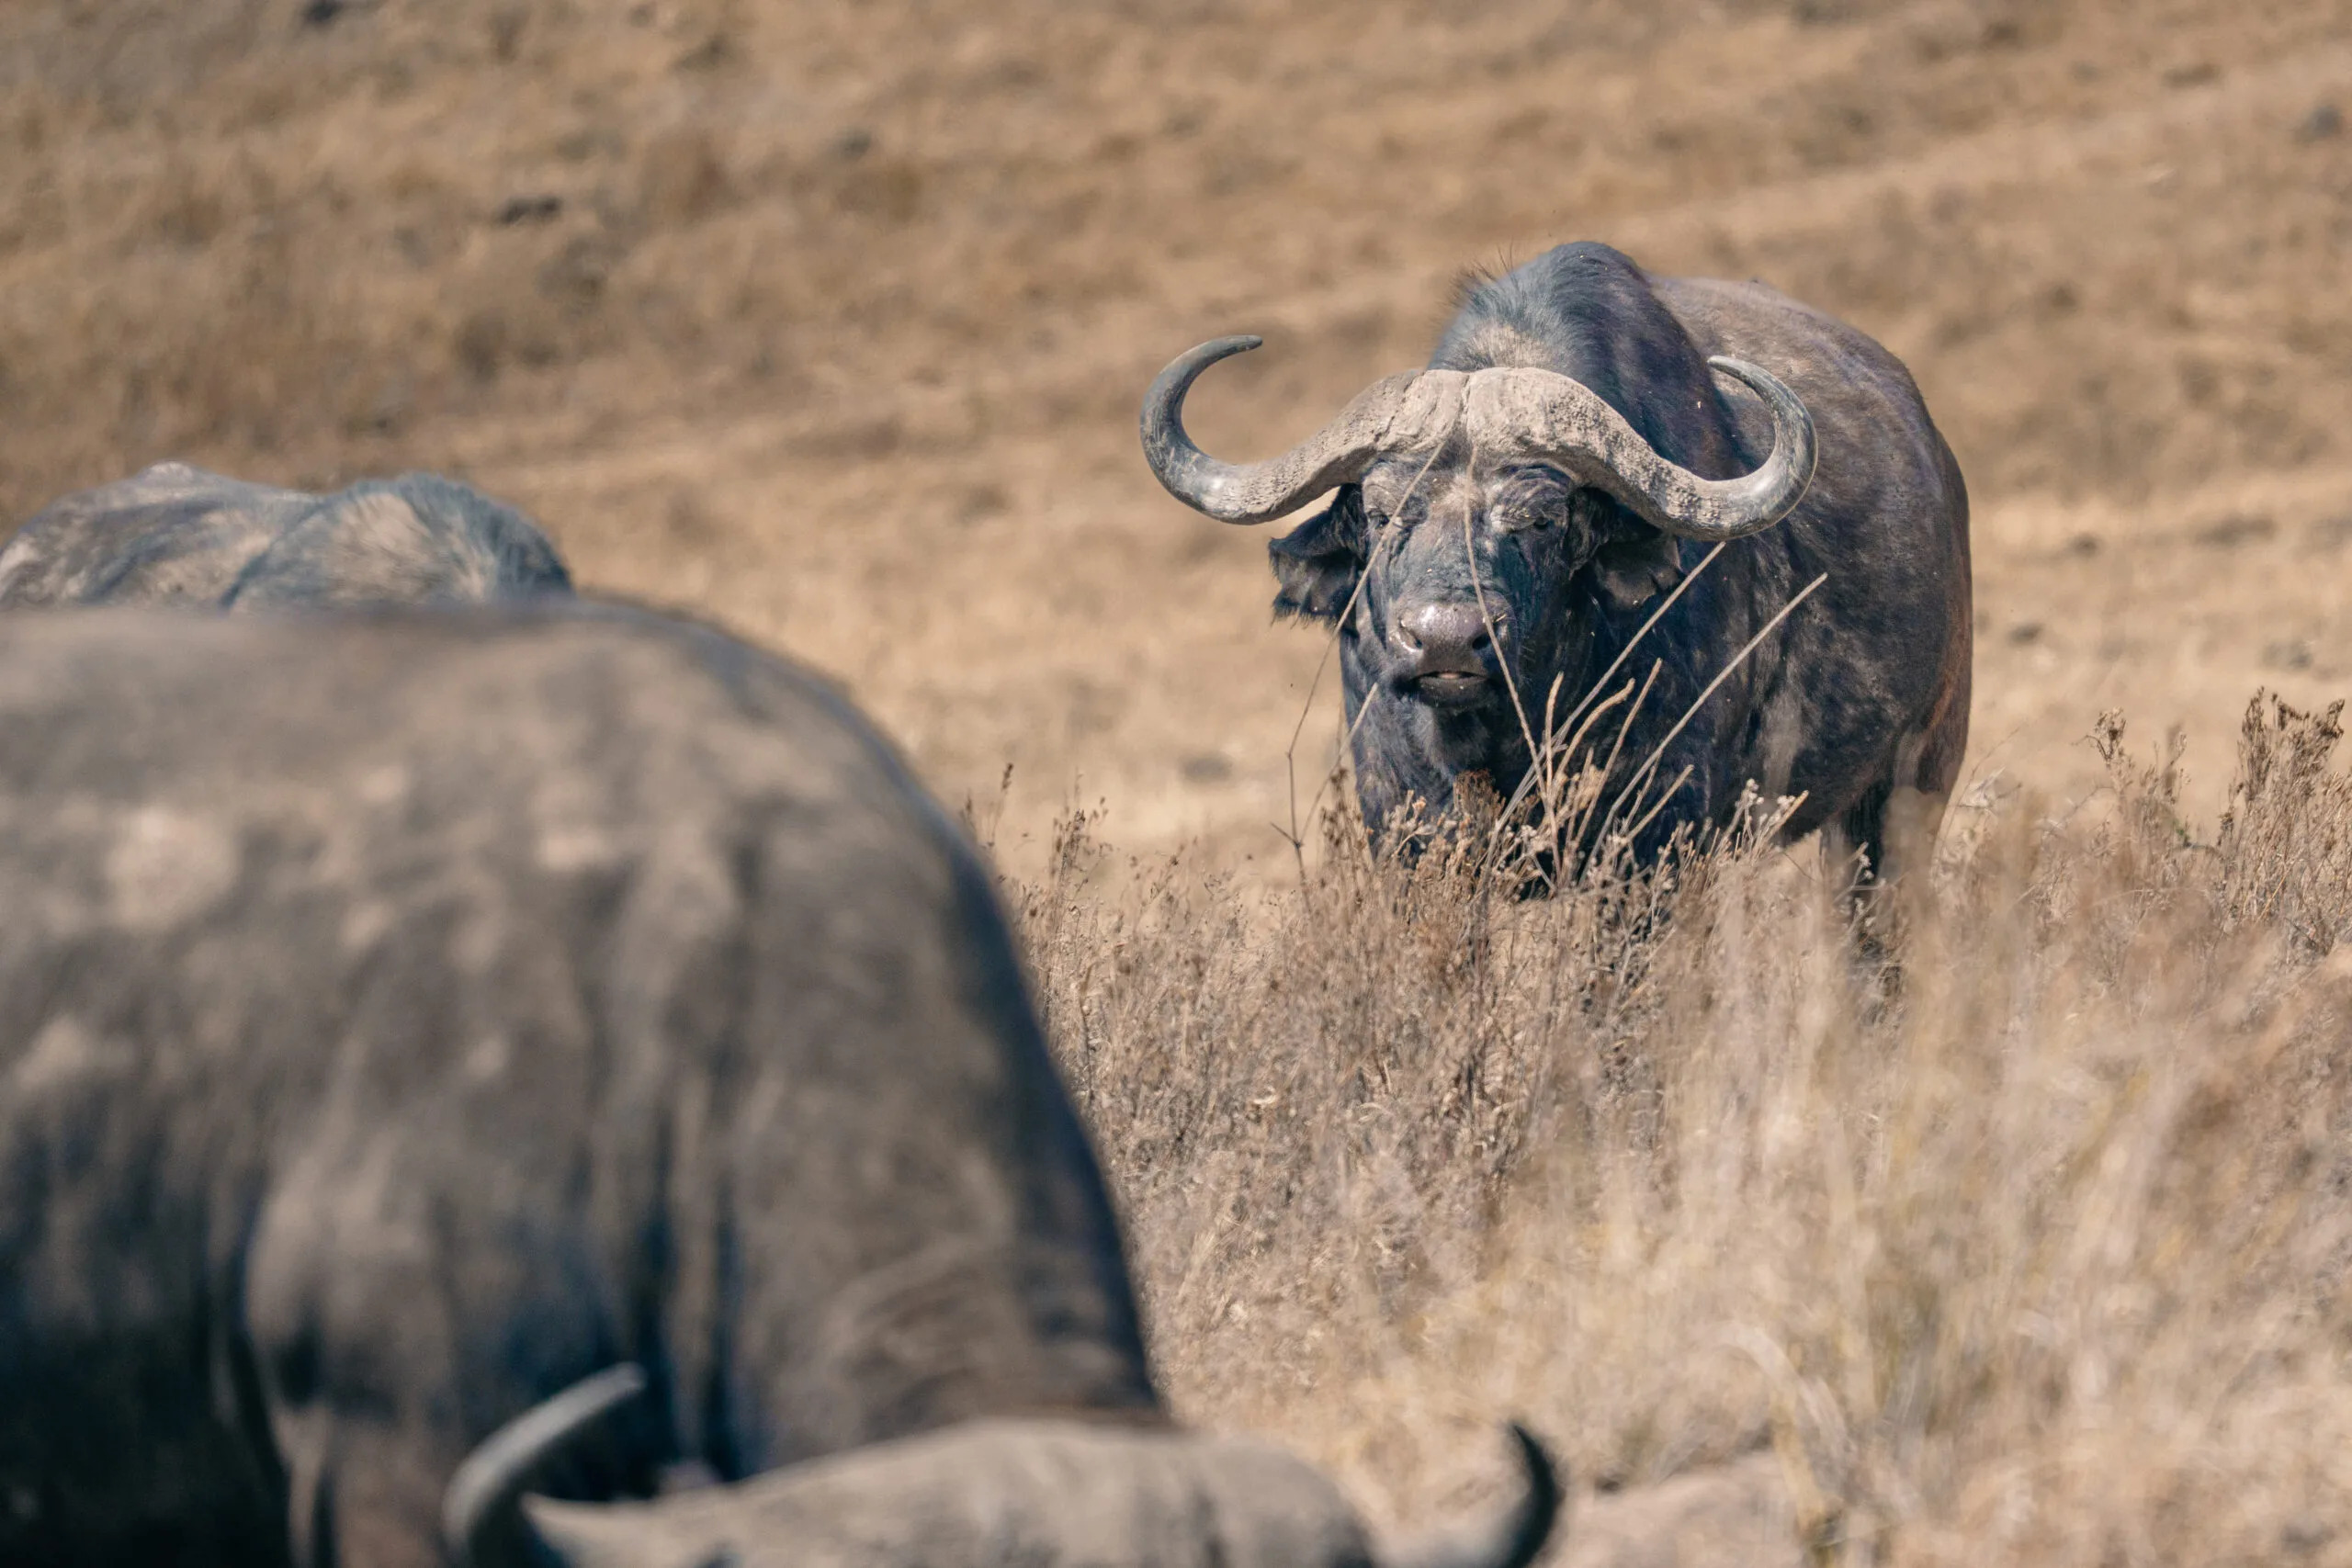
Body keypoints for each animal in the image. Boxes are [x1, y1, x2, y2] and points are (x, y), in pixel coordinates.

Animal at [1142, 242, 1970, 889]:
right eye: (1380, 514)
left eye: (1542, 518)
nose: (1445, 641)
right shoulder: (1407, 838)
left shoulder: (1654, 846)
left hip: (1909, 786)